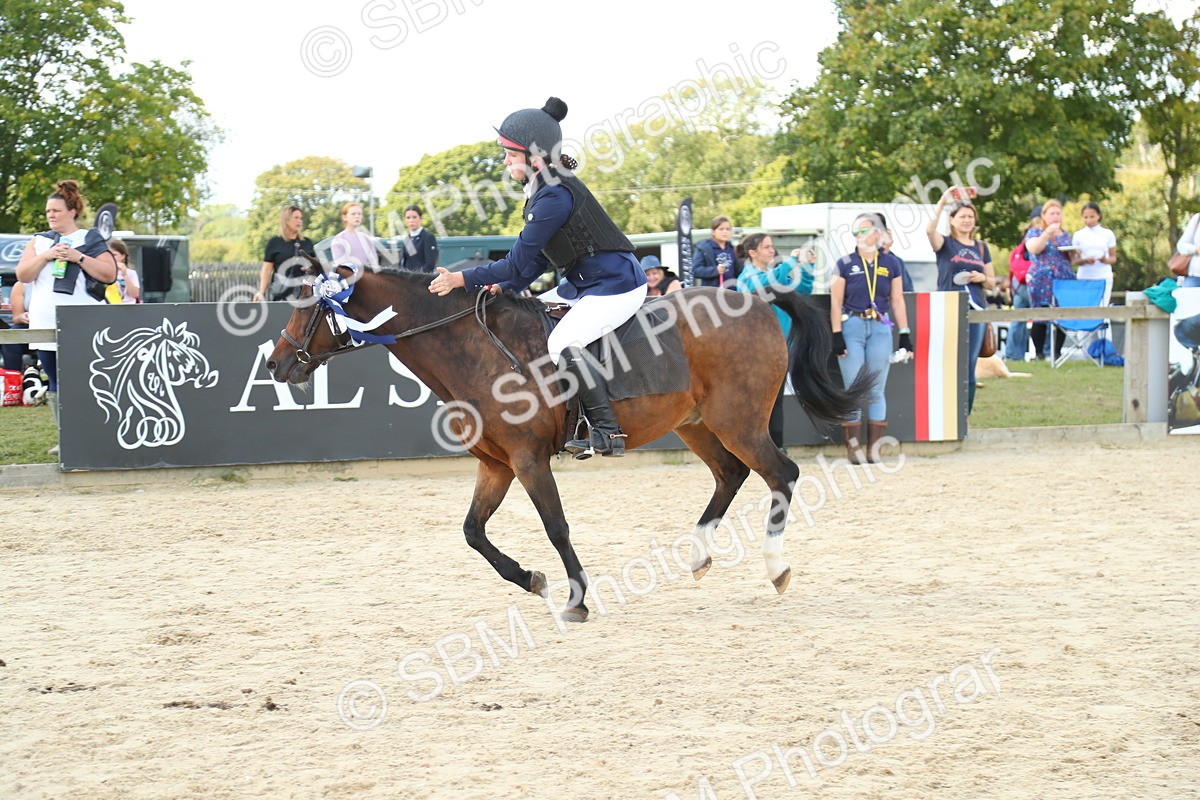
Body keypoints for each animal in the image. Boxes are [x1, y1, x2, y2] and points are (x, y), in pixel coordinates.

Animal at [266, 260, 870, 622]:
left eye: (308, 307)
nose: (274, 364)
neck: (471, 350)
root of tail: (759, 301)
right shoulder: (496, 465)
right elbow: (472, 533)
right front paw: (531, 579)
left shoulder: (529, 460)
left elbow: (556, 527)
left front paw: (576, 599)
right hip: (696, 423)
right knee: (732, 474)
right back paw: (700, 555)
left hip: (738, 421)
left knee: (781, 475)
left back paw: (776, 568)